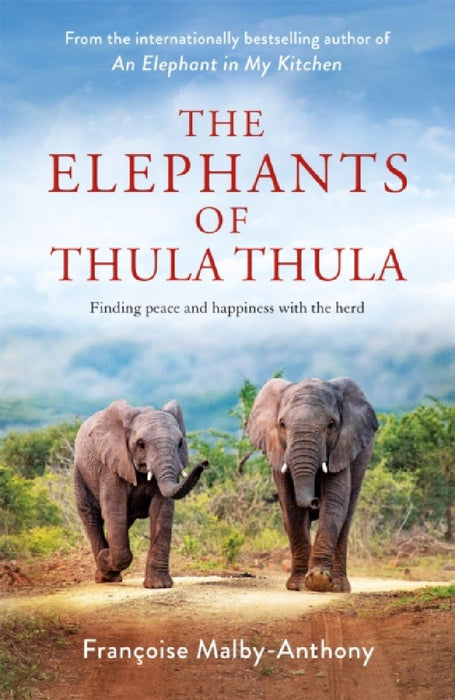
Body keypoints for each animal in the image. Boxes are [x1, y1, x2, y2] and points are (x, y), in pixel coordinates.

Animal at [74, 399, 207, 588]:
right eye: (140, 444)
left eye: (180, 442)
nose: (205, 463)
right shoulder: (111, 466)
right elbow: (114, 511)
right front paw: (105, 557)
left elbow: (162, 511)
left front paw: (159, 586)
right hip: (80, 474)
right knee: (92, 517)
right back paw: (104, 576)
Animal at [247, 377, 378, 593]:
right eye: (282, 424)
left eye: (331, 425)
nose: (315, 500)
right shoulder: (278, 453)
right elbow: (291, 507)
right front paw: (299, 585)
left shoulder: (341, 449)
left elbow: (334, 504)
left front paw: (319, 580)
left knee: (346, 518)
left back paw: (339, 587)